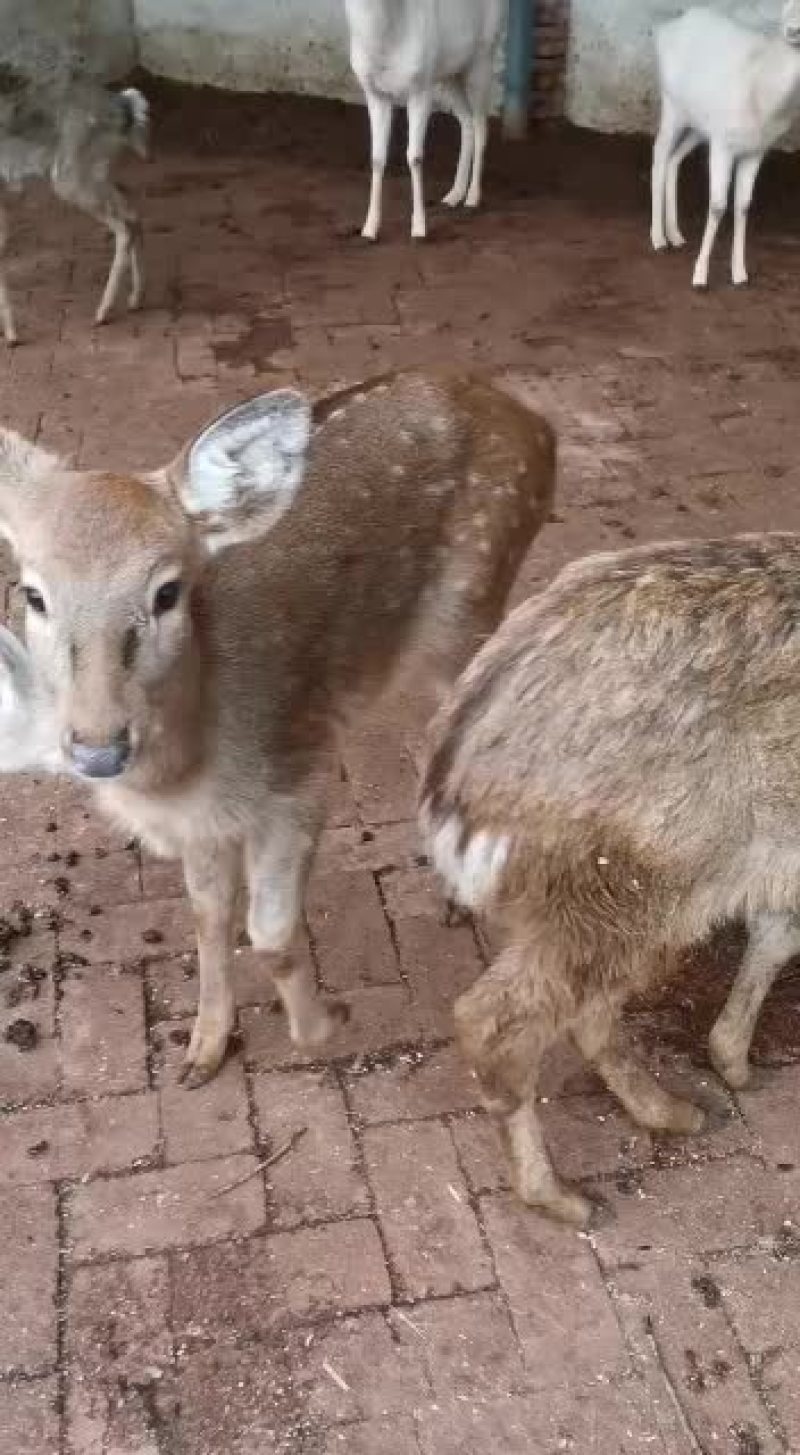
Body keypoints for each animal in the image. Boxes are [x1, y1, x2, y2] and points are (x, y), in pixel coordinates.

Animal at [0, 369, 555, 1086]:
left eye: (167, 591)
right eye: (33, 594)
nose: (98, 748)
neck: (190, 771)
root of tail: (536, 423)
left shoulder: (300, 778)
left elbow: (268, 933)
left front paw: (325, 1025)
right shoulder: (203, 826)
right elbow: (207, 918)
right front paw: (203, 1049)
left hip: (471, 603)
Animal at [422, 533, 800, 1227]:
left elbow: (775, 935)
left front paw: (732, 1059)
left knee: (585, 1008)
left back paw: (668, 1109)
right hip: (632, 882)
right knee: (499, 1021)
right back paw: (557, 1193)